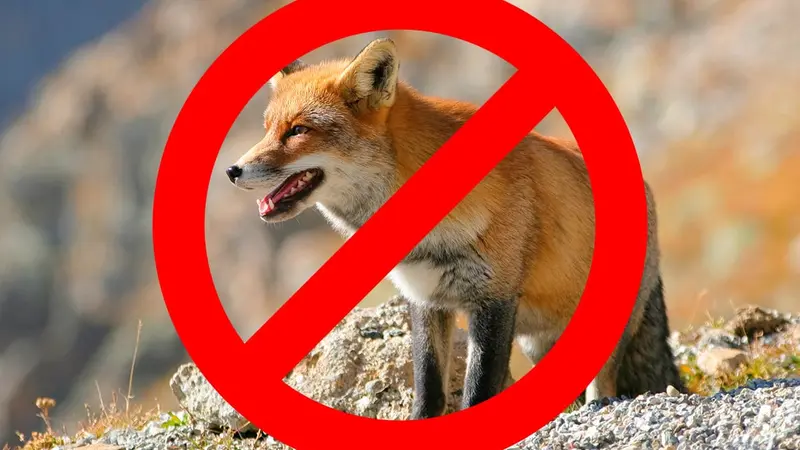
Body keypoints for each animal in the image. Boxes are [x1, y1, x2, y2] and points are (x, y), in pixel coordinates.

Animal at [225, 38, 686, 418]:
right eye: (267, 128)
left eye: (298, 131)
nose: (232, 170)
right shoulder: (425, 298)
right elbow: (428, 386)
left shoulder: (495, 300)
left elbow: (478, 387)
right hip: (538, 342)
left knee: (603, 383)